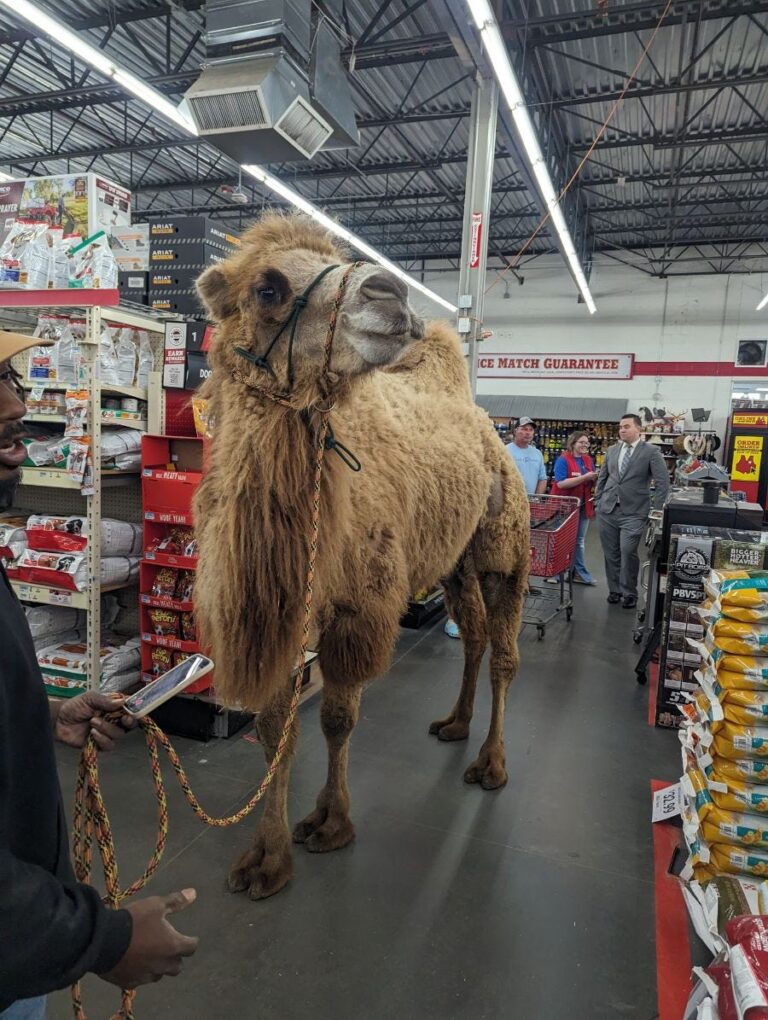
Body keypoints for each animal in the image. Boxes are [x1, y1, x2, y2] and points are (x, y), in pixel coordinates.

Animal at [192, 211, 526, 897]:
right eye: (267, 288)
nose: (390, 294)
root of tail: (489, 429)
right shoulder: (285, 607)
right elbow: (275, 729)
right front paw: (265, 858)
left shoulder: (358, 605)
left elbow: (337, 718)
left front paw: (329, 822)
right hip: (452, 561)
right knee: (475, 636)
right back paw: (454, 723)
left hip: (502, 547)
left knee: (505, 653)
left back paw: (491, 763)